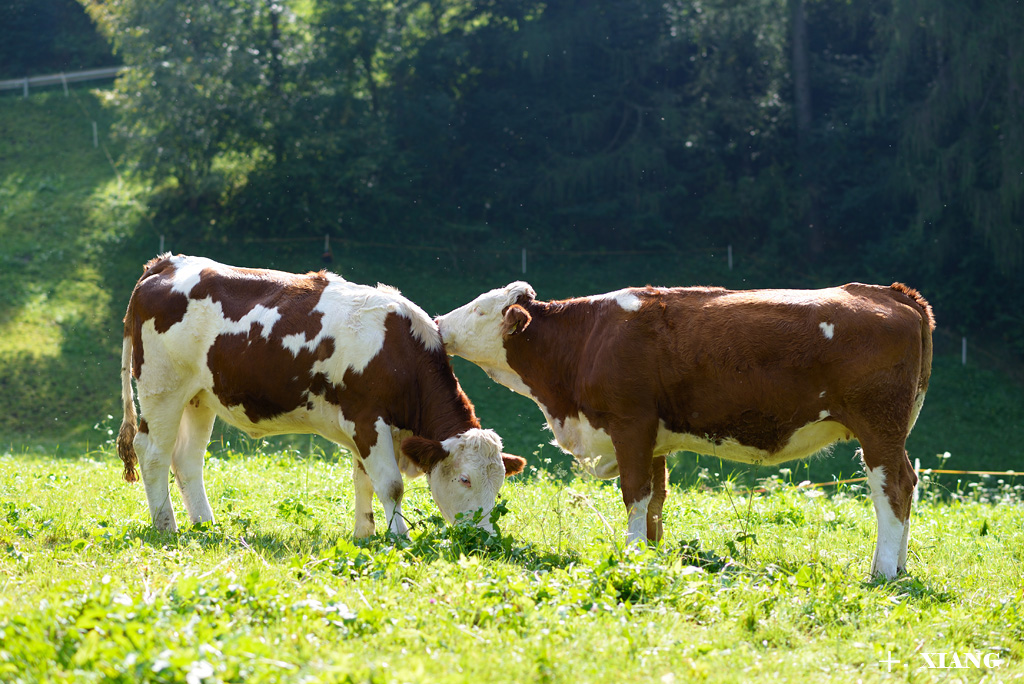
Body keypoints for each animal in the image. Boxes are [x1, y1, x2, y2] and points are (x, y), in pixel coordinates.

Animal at [116, 253, 524, 536]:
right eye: (465, 479)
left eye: (500, 483)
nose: (486, 537)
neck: (400, 352)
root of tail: (165, 262)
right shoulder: (368, 420)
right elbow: (390, 485)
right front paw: (400, 537)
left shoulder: (368, 431)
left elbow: (365, 481)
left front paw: (365, 534)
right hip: (162, 387)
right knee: (153, 453)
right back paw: (166, 526)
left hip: (200, 396)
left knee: (187, 460)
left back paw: (206, 525)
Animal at [440, 280, 937, 581]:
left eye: (481, 310)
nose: (440, 323)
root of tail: (893, 294)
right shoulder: (654, 436)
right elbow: (657, 497)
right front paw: (652, 551)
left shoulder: (630, 424)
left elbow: (635, 493)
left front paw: (633, 554)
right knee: (909, 484)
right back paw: (900, 567)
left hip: (879, 429)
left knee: (892, 489)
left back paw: (883, 570)